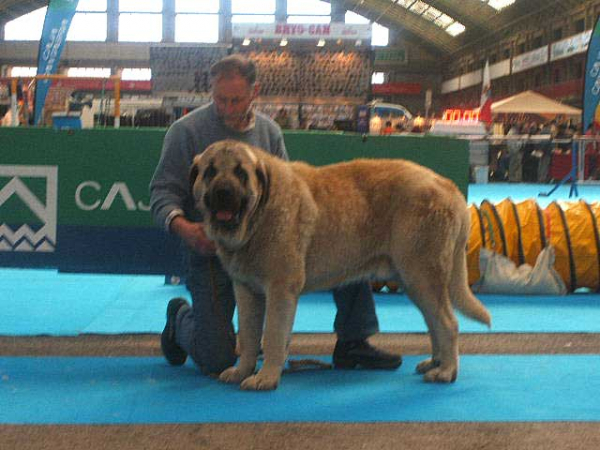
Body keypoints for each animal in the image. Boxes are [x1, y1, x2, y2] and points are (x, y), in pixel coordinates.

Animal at [192, 140, 492, 390]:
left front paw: (266, 377)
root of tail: (446, 184)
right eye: (210, 171)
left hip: (422, 274)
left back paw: (446, 371)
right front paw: (242, 370)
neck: (259, 216)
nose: (223, 192)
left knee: (448, 323)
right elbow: (249, 335)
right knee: (434, 322)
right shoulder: (246, 291)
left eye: (241, 173)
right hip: (415, 281)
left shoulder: (280, 290)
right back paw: (436, 362)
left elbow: (273, 335)